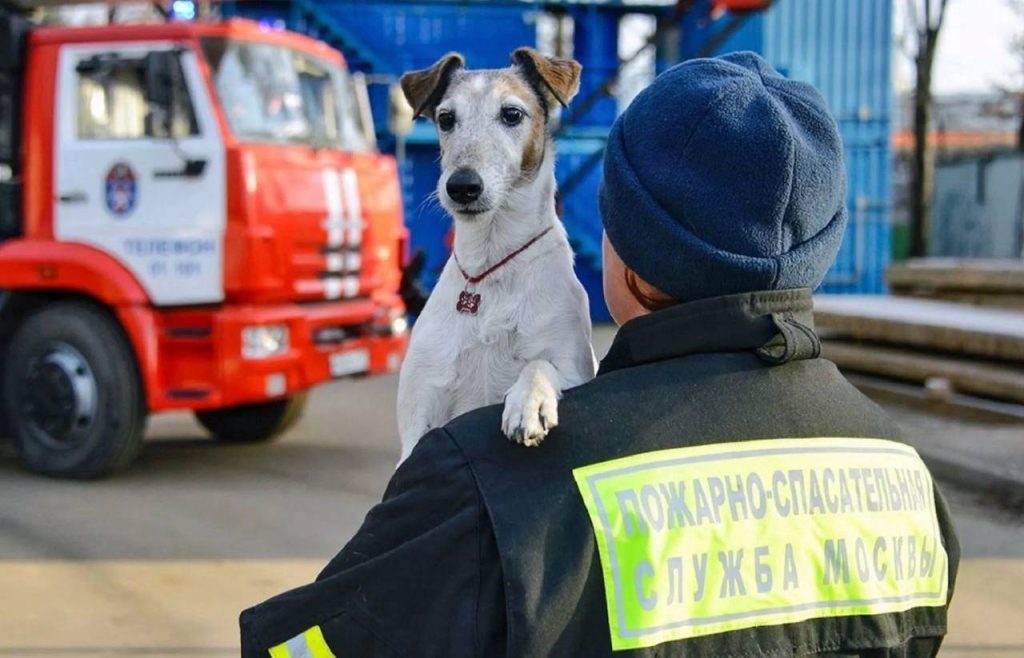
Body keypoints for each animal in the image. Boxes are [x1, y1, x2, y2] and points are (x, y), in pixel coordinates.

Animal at [395, 47, 598, 462]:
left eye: (512, 114)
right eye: (445, 118)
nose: (462, 186)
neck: (489, 270)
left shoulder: (573, 366)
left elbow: (539, 364)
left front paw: (528, 404)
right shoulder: (418, 416)